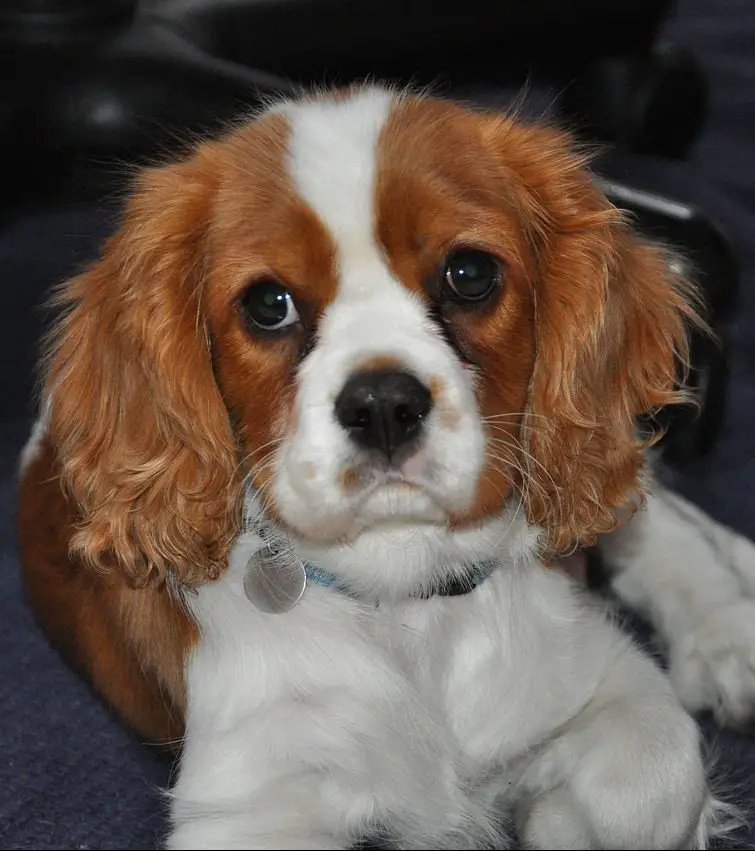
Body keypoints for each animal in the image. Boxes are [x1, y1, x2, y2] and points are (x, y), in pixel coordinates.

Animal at [16, 85, 755, 844]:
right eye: (267, 304)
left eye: (470, 273)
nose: (382, 405)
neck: (407, 592)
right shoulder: (246, 803)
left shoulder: (598, 671)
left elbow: (652, 781)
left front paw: (548, 809)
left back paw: (727, 634)